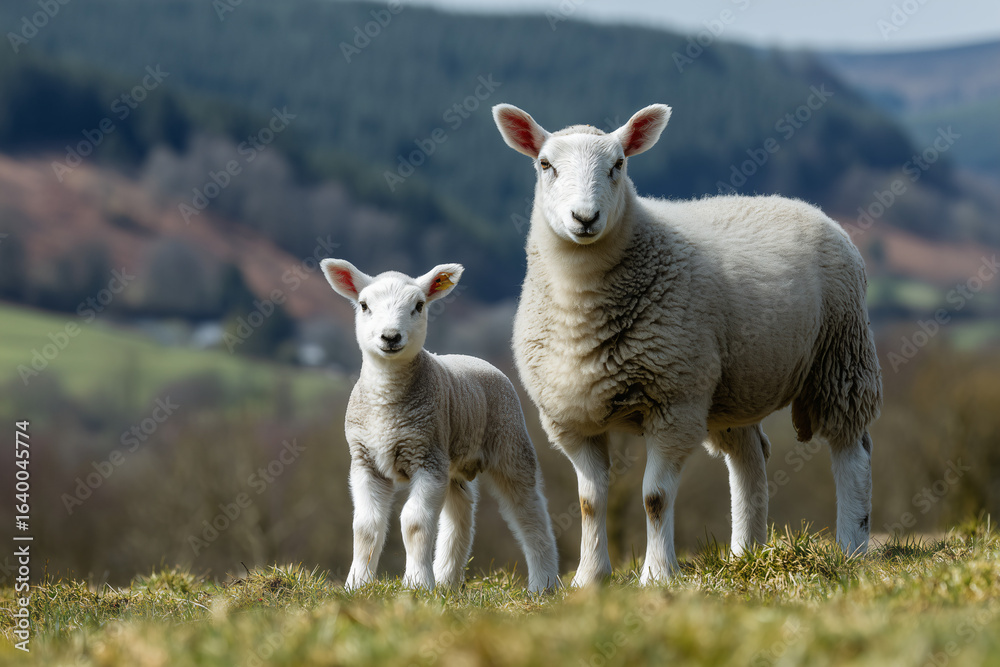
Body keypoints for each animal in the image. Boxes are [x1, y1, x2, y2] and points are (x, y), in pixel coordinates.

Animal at [320, 258, 560, 592]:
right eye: (364, 305)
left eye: (419, 305)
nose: (390, 337)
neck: (386, 406)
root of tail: (475, 358)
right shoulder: (365, 460)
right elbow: (365, 527)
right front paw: (357, 584)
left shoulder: (427, 457)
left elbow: (414, 523)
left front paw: (417, 584)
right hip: (454, 464)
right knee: (461, 514)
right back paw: (447, 580)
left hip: (510, 443)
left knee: (531, 512)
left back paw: (544, 584)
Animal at [491, 103, 882, 586]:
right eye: (546, 165)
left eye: (618, 165)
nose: (584, 218)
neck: (580, 302)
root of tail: (802, 204)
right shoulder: (572, 418)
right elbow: (590, 503)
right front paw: (588, 578)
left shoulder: (673, 404)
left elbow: (654, 497)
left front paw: (657, 575)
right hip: (732, 388)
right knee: (750, 458)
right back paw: (745, 553)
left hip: (841, 355)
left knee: (852, 450)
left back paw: (852, 546)